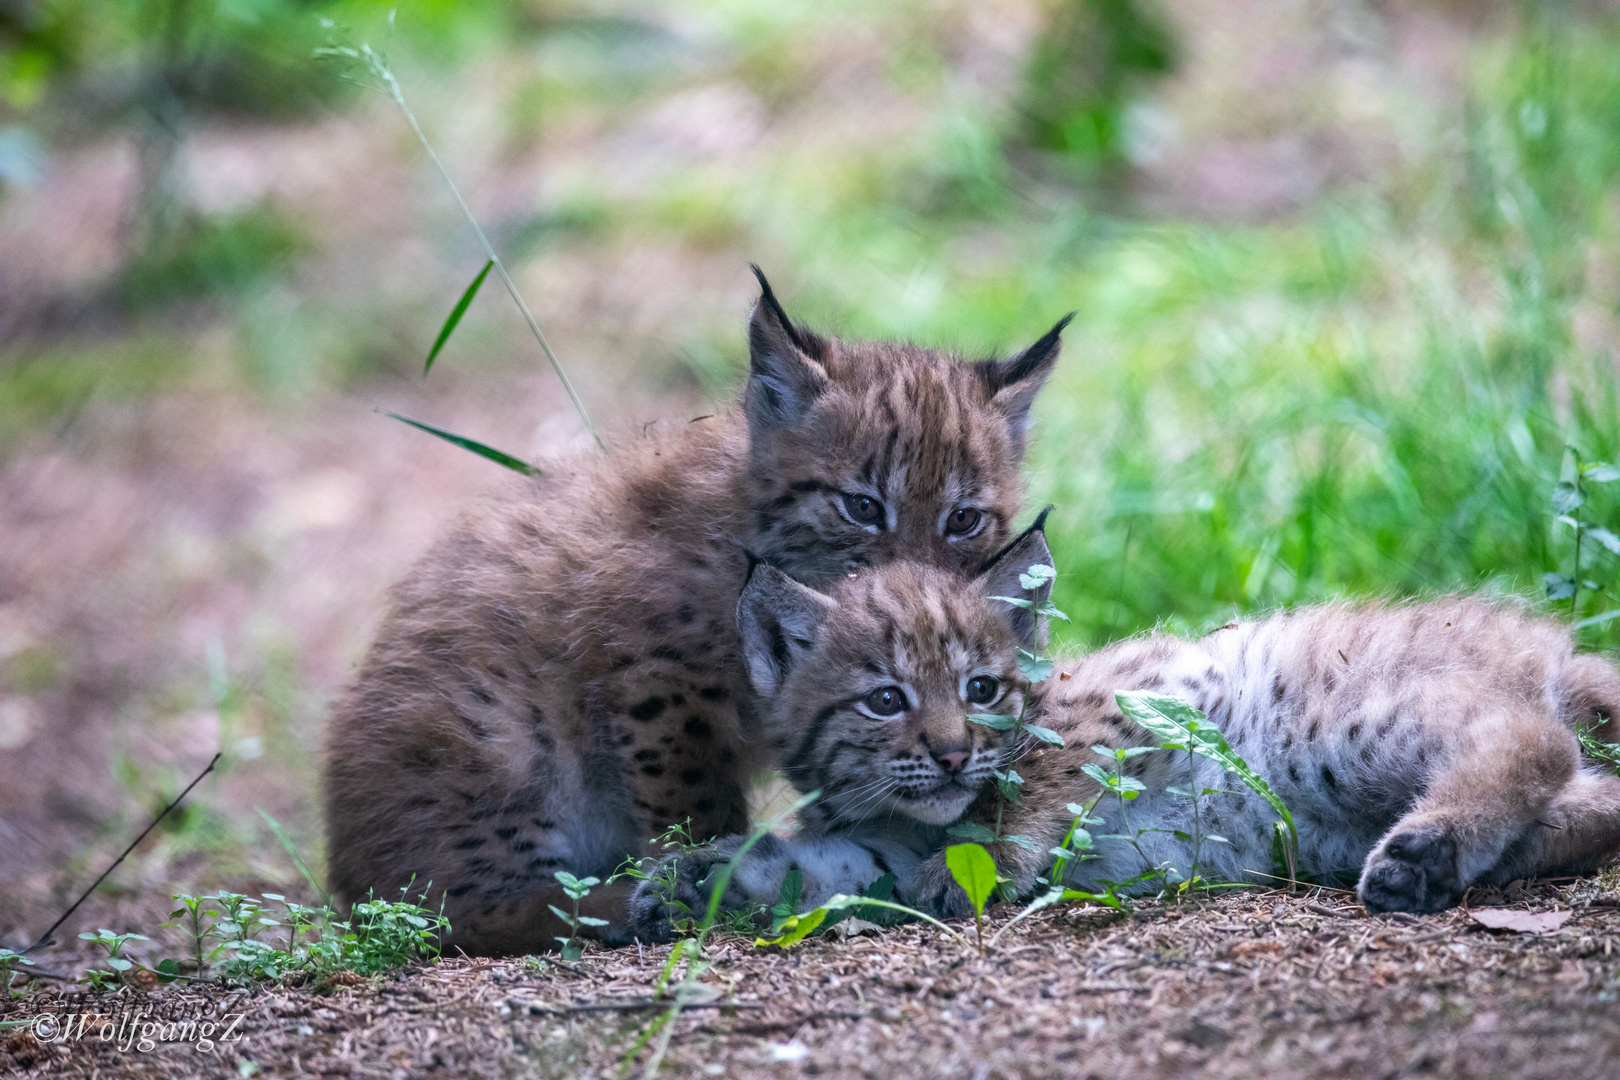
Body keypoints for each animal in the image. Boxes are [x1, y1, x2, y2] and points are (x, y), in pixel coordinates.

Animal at [322, 272, 1069, 952]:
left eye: (964, 519)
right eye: (861, 507)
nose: (915, 580)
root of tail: (344, 876)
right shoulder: (655, 679)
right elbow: (692, 808)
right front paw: (703, 880)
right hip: (504, 734)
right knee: (454, 912)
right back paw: (628, 904)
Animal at [628, 524, 1620, 939]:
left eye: (981, 689)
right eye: (884, 701)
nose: (951, 754)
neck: (917, 815)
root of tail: (1553, 643)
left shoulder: (1123, 709)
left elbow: (1031, 793)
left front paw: (991, 854)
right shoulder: (882, 843)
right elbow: (819, 863)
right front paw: (692, 881)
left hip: (1339, 729)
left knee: (1537, 740)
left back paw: (1429, 848)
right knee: (1593, 794)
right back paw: (1444, 858)